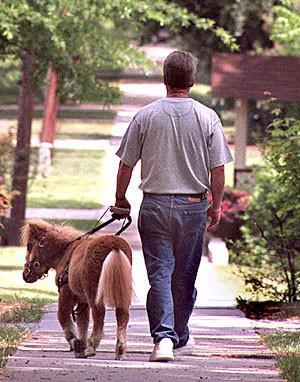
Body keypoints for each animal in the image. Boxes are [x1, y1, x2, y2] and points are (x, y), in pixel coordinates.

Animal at [21, 219, 132, 360]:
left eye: (29, 246)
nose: (25, 275)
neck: (65, 253)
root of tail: (114, 246)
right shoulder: (82, 301)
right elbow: (82, 322)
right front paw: (80, 347)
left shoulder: (66, 294)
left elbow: (62, 316)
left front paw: (77, 344)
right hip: (121, 292)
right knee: (122, 315)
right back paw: (120, 349)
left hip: (94, 293)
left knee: (99, 315)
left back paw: (92, 347)